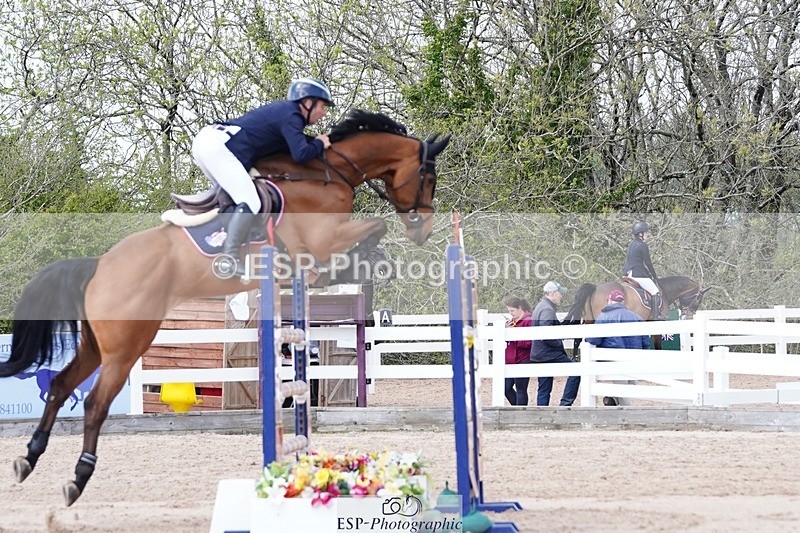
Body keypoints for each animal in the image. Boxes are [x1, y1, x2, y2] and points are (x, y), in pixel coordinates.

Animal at [0, 109, 450, 506]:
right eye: (428, 177)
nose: (424, 230)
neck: (327, 174)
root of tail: (100, 265)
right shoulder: (321, 241)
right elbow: (375, 228)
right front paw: (369, 258)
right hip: (126, 346)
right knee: (95, 404)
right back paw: (78, 478)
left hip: (97, 345)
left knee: (60, 386)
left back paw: (29, 458)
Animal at [562, 276, 710, 350]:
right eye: (699, 299)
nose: (688, 316)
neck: (664, 291)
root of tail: (595, 287)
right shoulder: (656, 323)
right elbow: (656, 344)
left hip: (589, 320)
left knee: (579, 340)